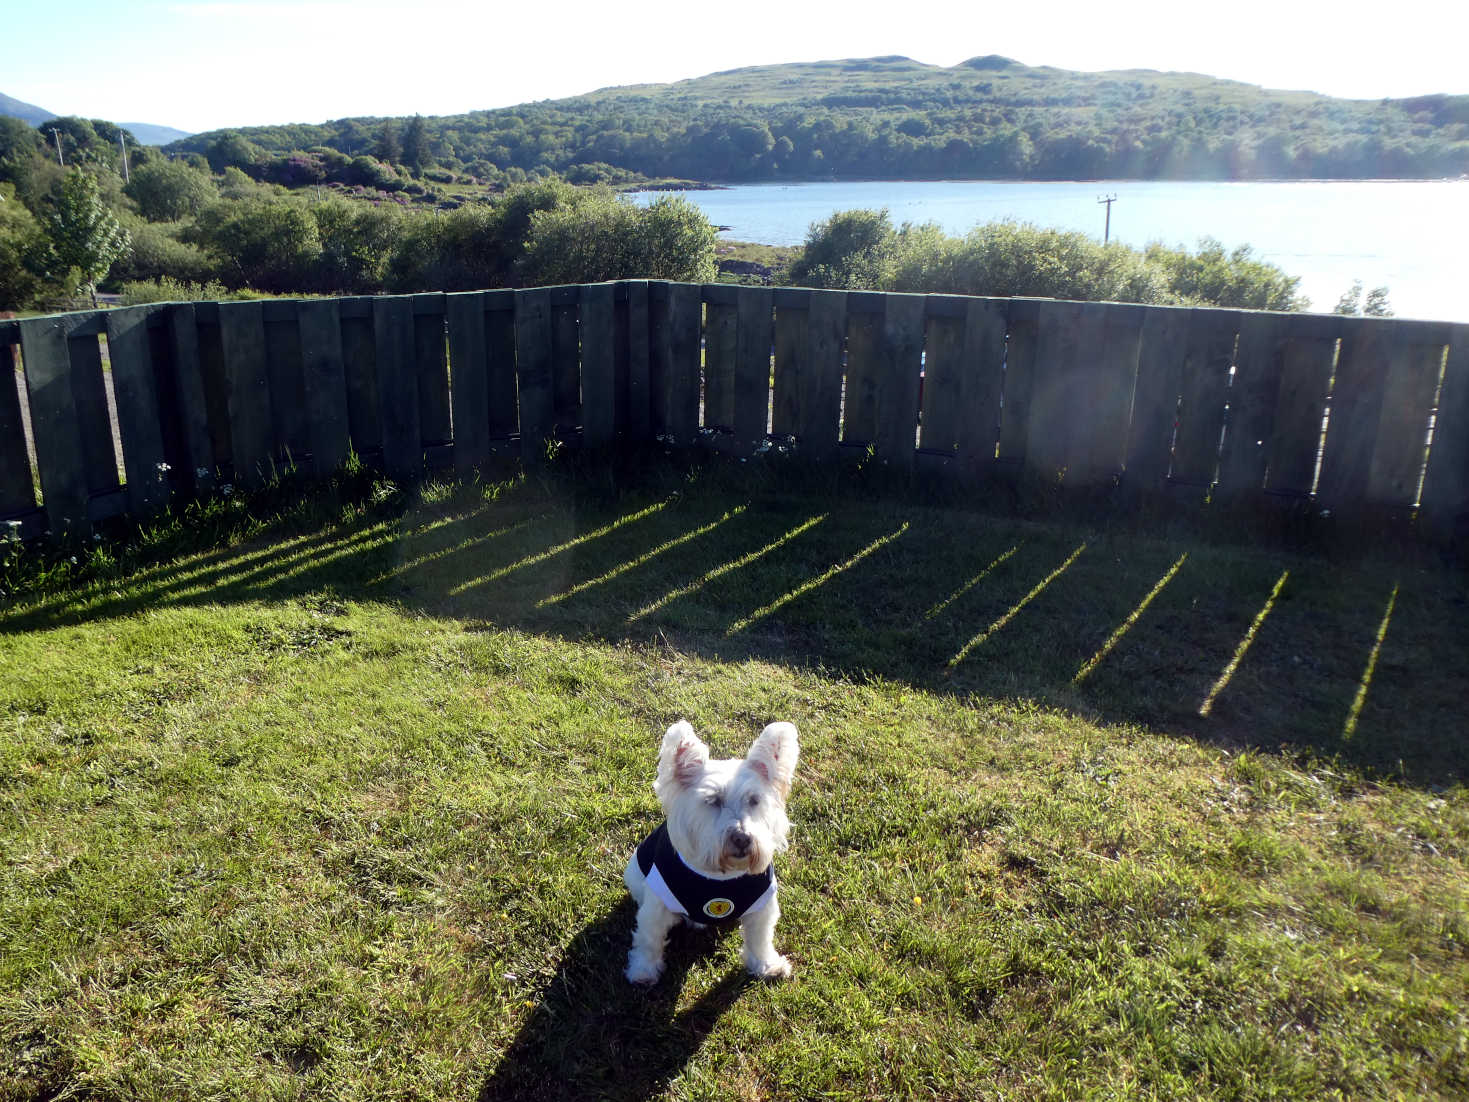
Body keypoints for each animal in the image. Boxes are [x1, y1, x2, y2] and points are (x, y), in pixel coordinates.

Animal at [622, 719, 805, 987]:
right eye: (713, 800)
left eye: (754, 800)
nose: (742, 838)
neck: (720, 877)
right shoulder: (655, 907)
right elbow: (648, 940)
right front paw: (643, 971)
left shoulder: (763, 908)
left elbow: (760, 940)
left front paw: (767, 966)